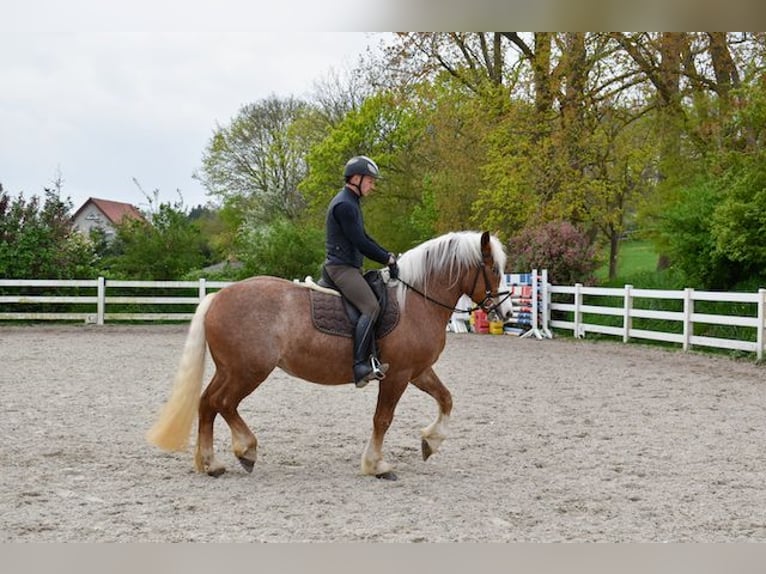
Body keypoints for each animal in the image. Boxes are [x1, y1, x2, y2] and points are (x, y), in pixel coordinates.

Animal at [146, 231, 512, 482]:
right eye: (493, 268)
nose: (505, 312)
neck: (416, 301)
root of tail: (218, 297)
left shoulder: (418, 371)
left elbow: (446, 399)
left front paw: (430, 443)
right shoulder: (396, 375)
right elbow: (383, 419)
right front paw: (377, 465)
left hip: (231, 370)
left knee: (208, 403)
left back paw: (212, 463)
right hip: (248, 371)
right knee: (223, 403)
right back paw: (244, 450)